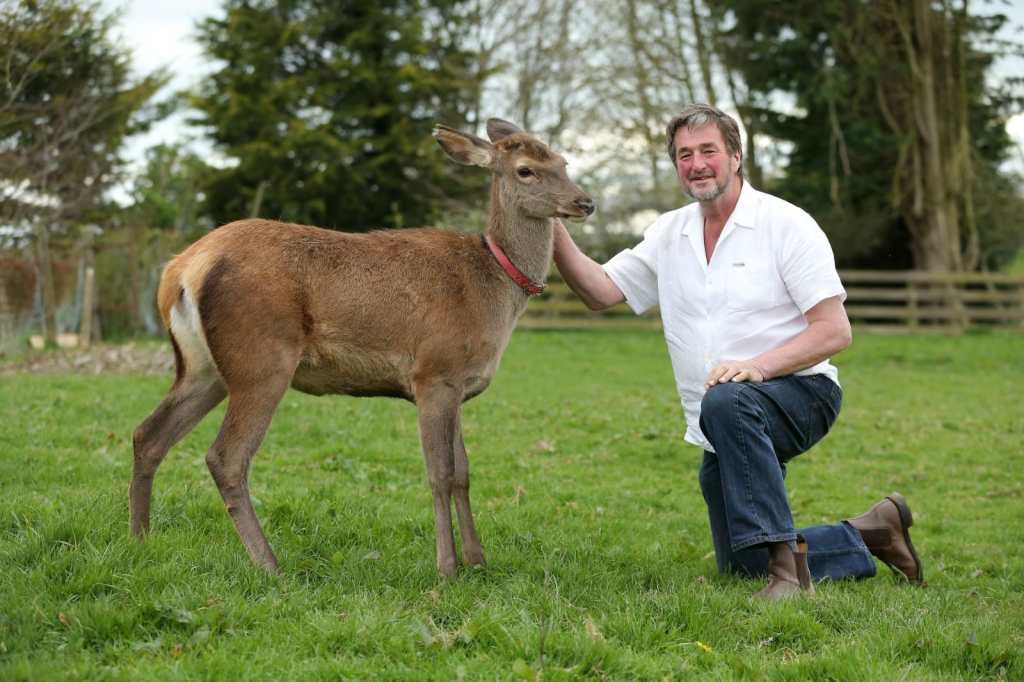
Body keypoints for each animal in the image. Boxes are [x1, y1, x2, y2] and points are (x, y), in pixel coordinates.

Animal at [129, 119, 595, 577]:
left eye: (564, 162)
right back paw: (269, 564)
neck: (493, 291)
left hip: (202, 367)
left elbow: (463, 472)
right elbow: (440, 474)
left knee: (148, 434)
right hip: (260, 359)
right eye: (525, 170)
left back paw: (140, 538)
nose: (585, 202)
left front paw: (477, 559)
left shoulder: (458, 384)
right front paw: (447, 568)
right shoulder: (433, 373)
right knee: (225, 456)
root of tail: (180, 269)